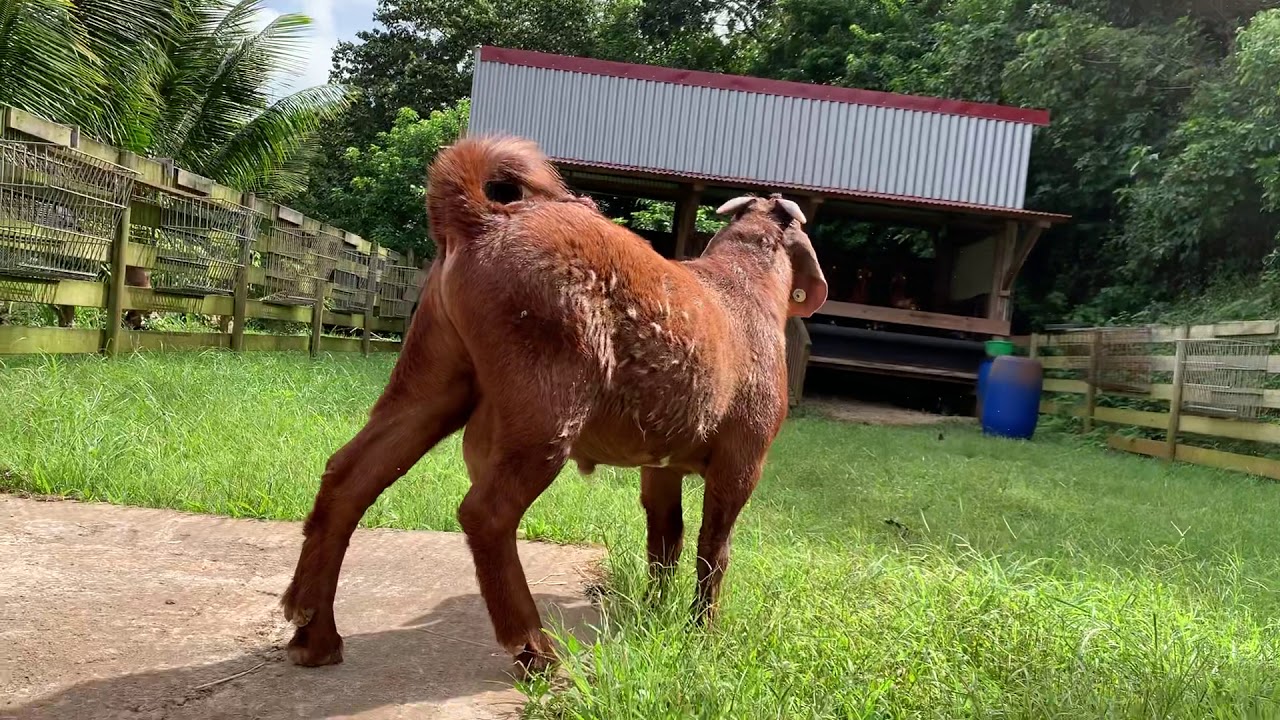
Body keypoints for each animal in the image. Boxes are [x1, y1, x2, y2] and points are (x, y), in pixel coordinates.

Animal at [280, 135, 828, 674]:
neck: (745, 282)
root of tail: (482, 219)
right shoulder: (744, 455)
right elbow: (714, 545)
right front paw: (702, 633)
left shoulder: (662, 462)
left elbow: (664, 534)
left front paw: (654, 612)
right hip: (545, 402)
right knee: (486, 512)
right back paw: (534, 648)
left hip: (433, 375)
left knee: (351, 474)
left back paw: (314, 633)